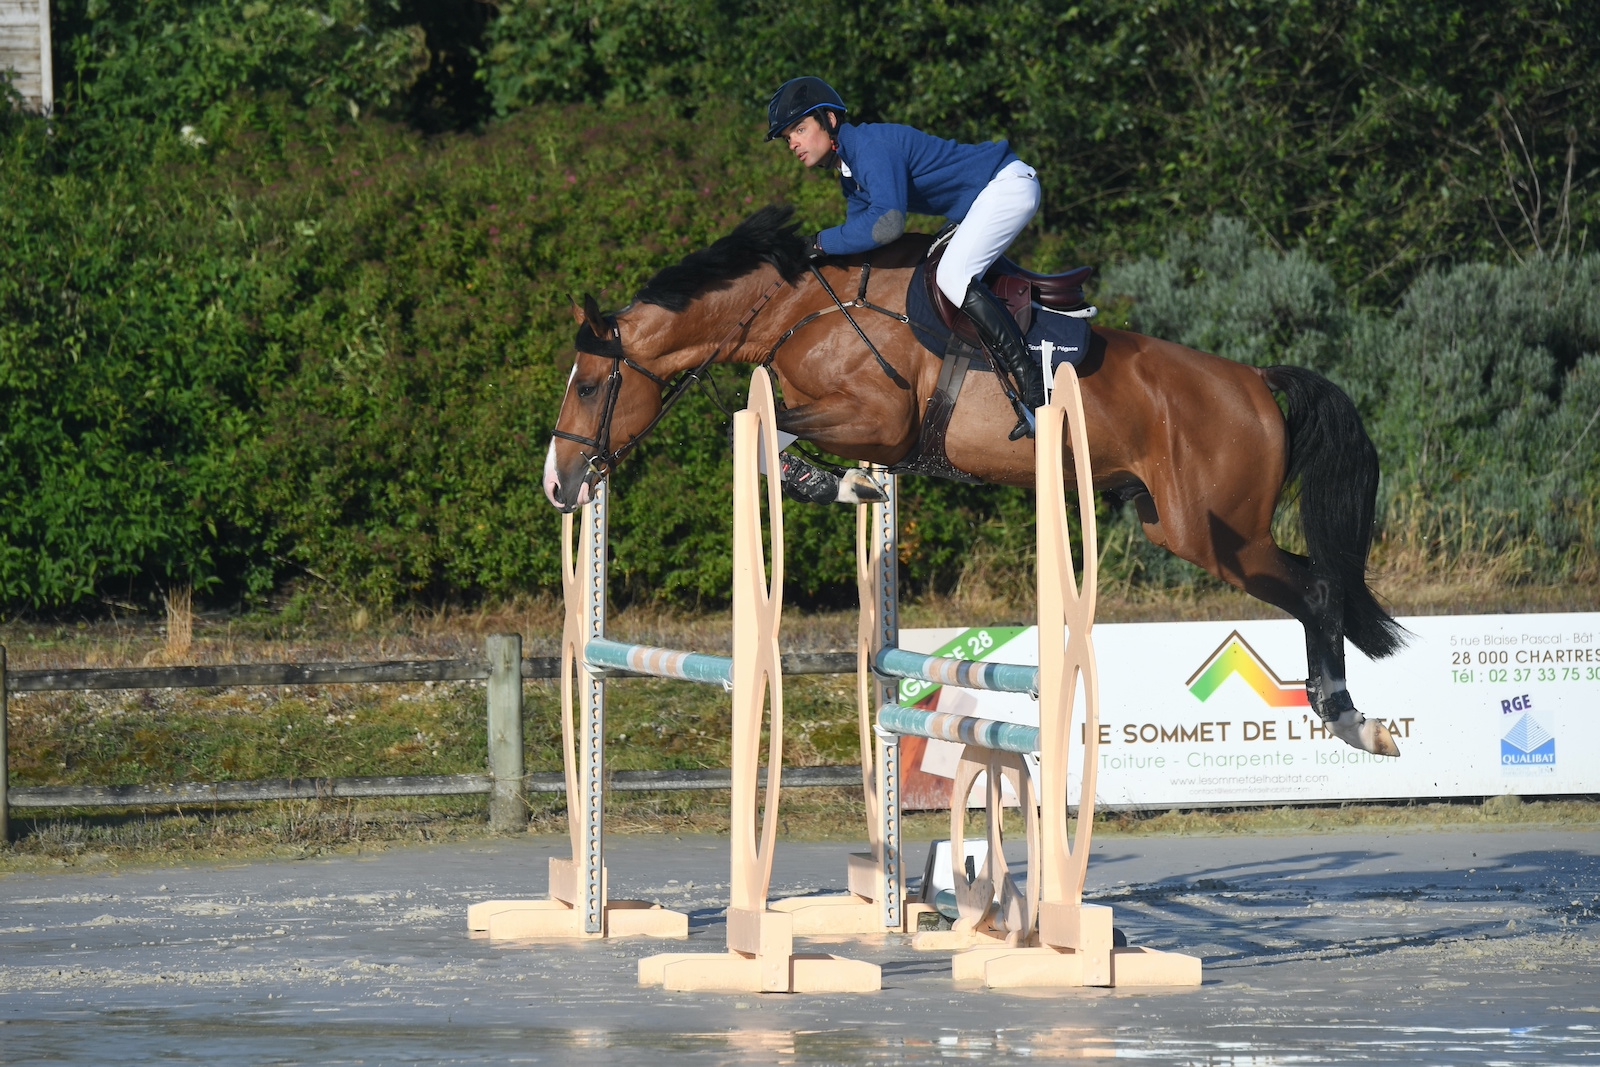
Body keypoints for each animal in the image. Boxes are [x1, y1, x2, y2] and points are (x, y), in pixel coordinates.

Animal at [544, 206, 1408, 758]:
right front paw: (857, 487)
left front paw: (841, 484)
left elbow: (772, 433)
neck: (797, 309)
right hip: (1182, 525)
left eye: (587, 385)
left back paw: (1352, 720)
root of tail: (1254, 381)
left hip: (1216, 532)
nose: (558, 484)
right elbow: (775, 431)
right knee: (1313, 583)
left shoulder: (877, 416)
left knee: (1318, 589)